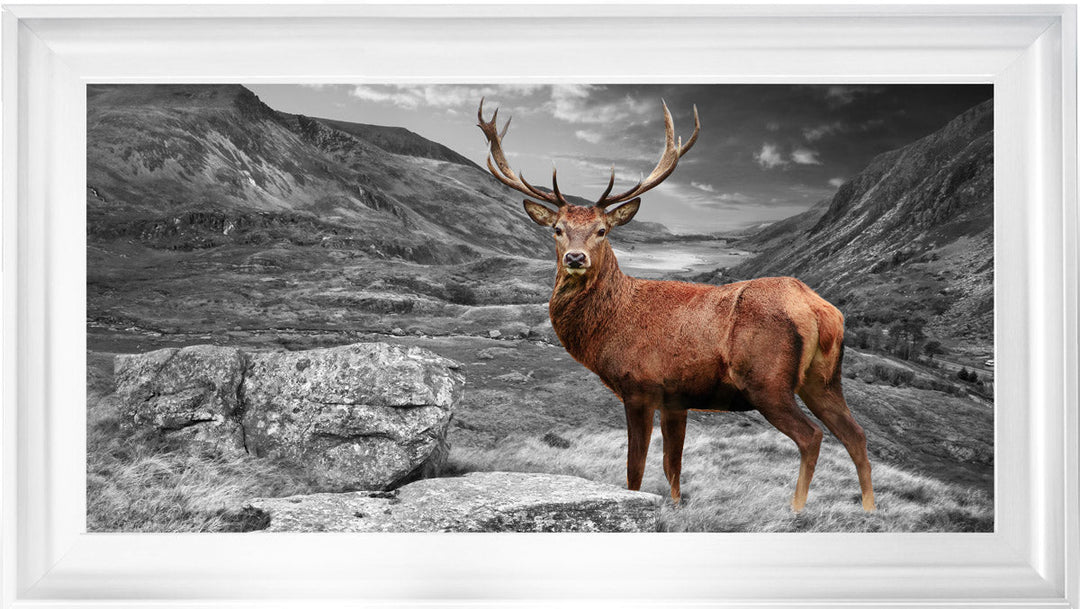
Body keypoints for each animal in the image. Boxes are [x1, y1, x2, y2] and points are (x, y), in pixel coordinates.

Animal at [476, 99, 875, 513]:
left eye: (602, 230)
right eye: (557, 229)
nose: (575, 258)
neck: (610, 326)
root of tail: (821, 311)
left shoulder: (640, 386)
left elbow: (635, 469)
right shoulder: (676, 399)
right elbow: (673, 467)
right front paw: (676, 506)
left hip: (768, 381)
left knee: (812, 436)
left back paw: (796, 509)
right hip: (823, 379)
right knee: (856, 434)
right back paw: (869, 508)